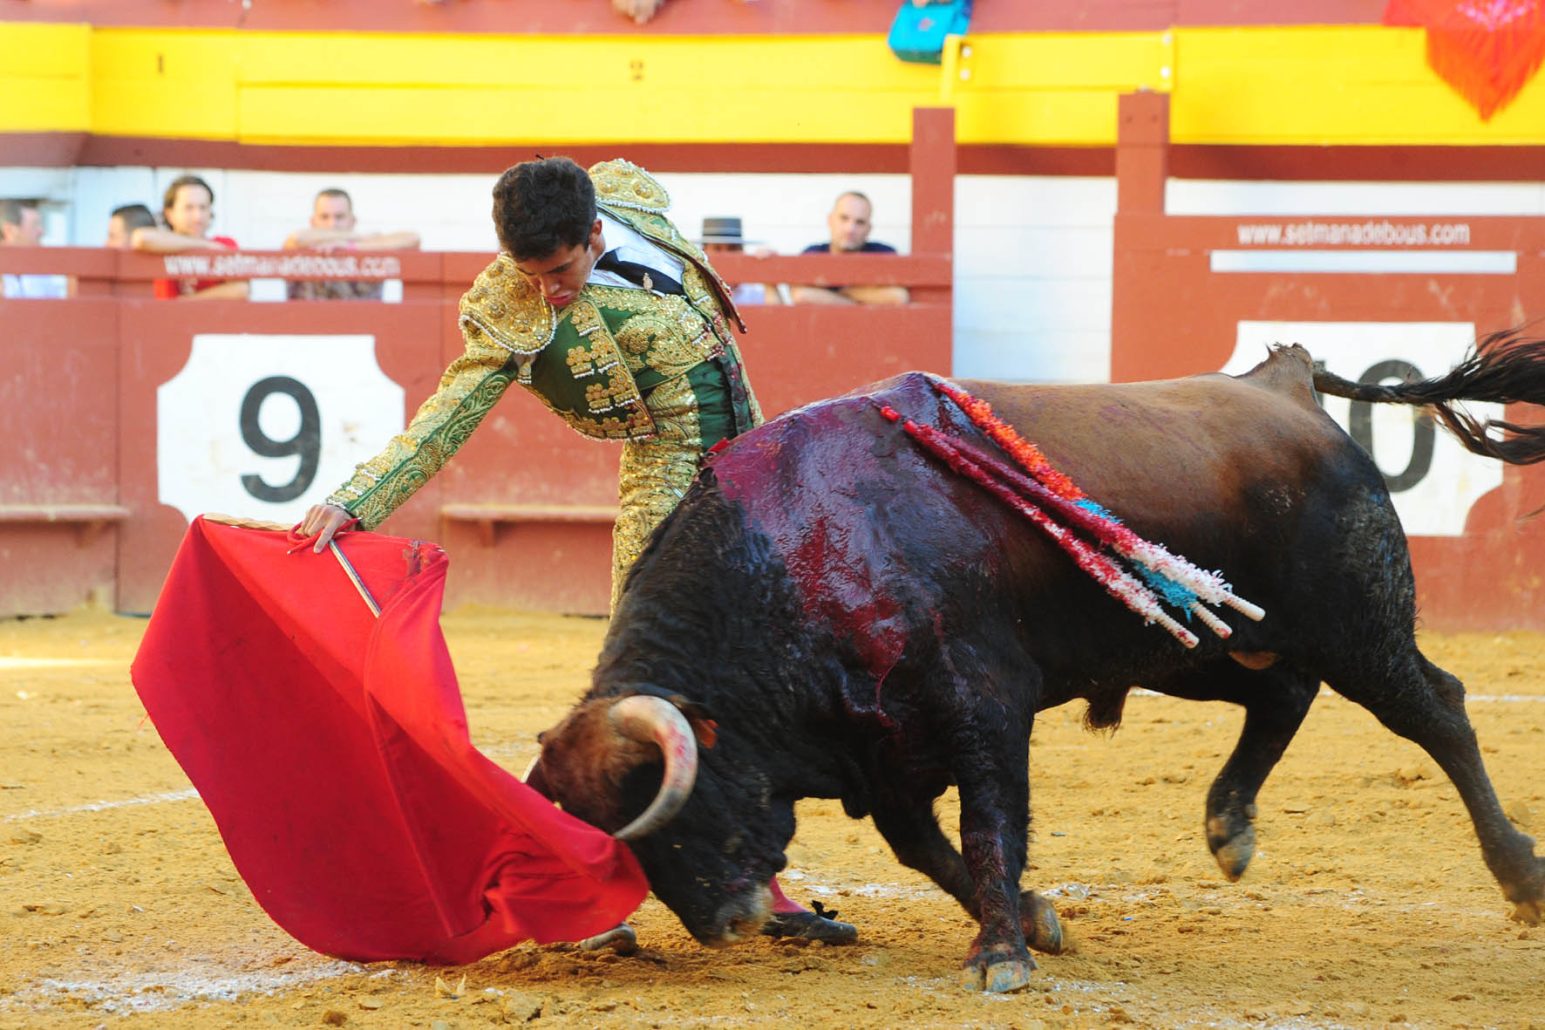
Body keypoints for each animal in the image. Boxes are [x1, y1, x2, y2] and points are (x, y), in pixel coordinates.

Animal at [527, 332, 1545, 993]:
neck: (796, 553)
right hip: (1196, 642)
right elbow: (925, 846)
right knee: (1282, 693)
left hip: (1359, 626)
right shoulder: (881, 745)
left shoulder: (982, 701)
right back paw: (1228, 826)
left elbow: (987, 824)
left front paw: (1001, 957)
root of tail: (1285, 388)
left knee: (1437, 710)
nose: (722, 924)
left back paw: (1520, 879)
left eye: (673, 808)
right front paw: (1029, 920)